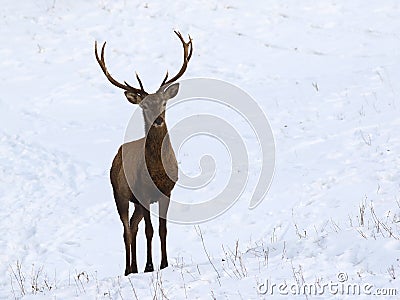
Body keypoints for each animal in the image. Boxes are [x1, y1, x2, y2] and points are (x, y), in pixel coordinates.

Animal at [94, 31, 193, 276]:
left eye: (163, 103)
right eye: (144, 106)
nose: (158, 120)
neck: (156, 171)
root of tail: (117, 154)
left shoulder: (167, 192)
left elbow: (162, 229)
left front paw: (164, 264)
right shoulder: (144, 193)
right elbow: (150, 230)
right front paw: (150, 266)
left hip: (136, 202)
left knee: (133, 225)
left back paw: (134, 267)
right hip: (119, 193)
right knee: (126, 229)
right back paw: (129, 269)